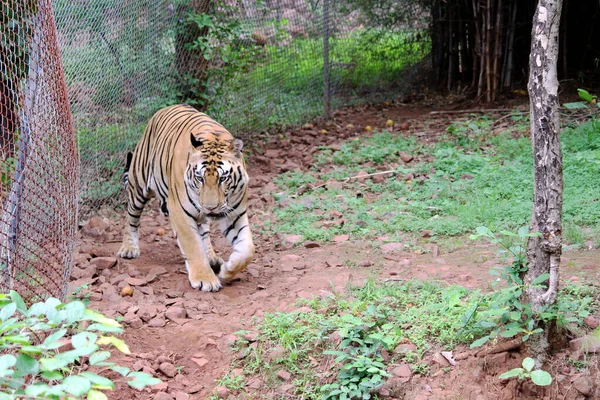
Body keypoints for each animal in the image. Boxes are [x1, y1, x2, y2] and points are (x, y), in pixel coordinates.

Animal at [118, 103, 255, 292]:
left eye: (223, 178)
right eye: (200, 178)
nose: (210, 207)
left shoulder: (235, 213)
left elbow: (247, 248)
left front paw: (228, 270)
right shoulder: (180, 211)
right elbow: (192, 245)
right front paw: (206, 279)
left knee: (204, 232)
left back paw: (212, 259)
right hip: (138, 184)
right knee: (131, 218)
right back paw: (128, 248)